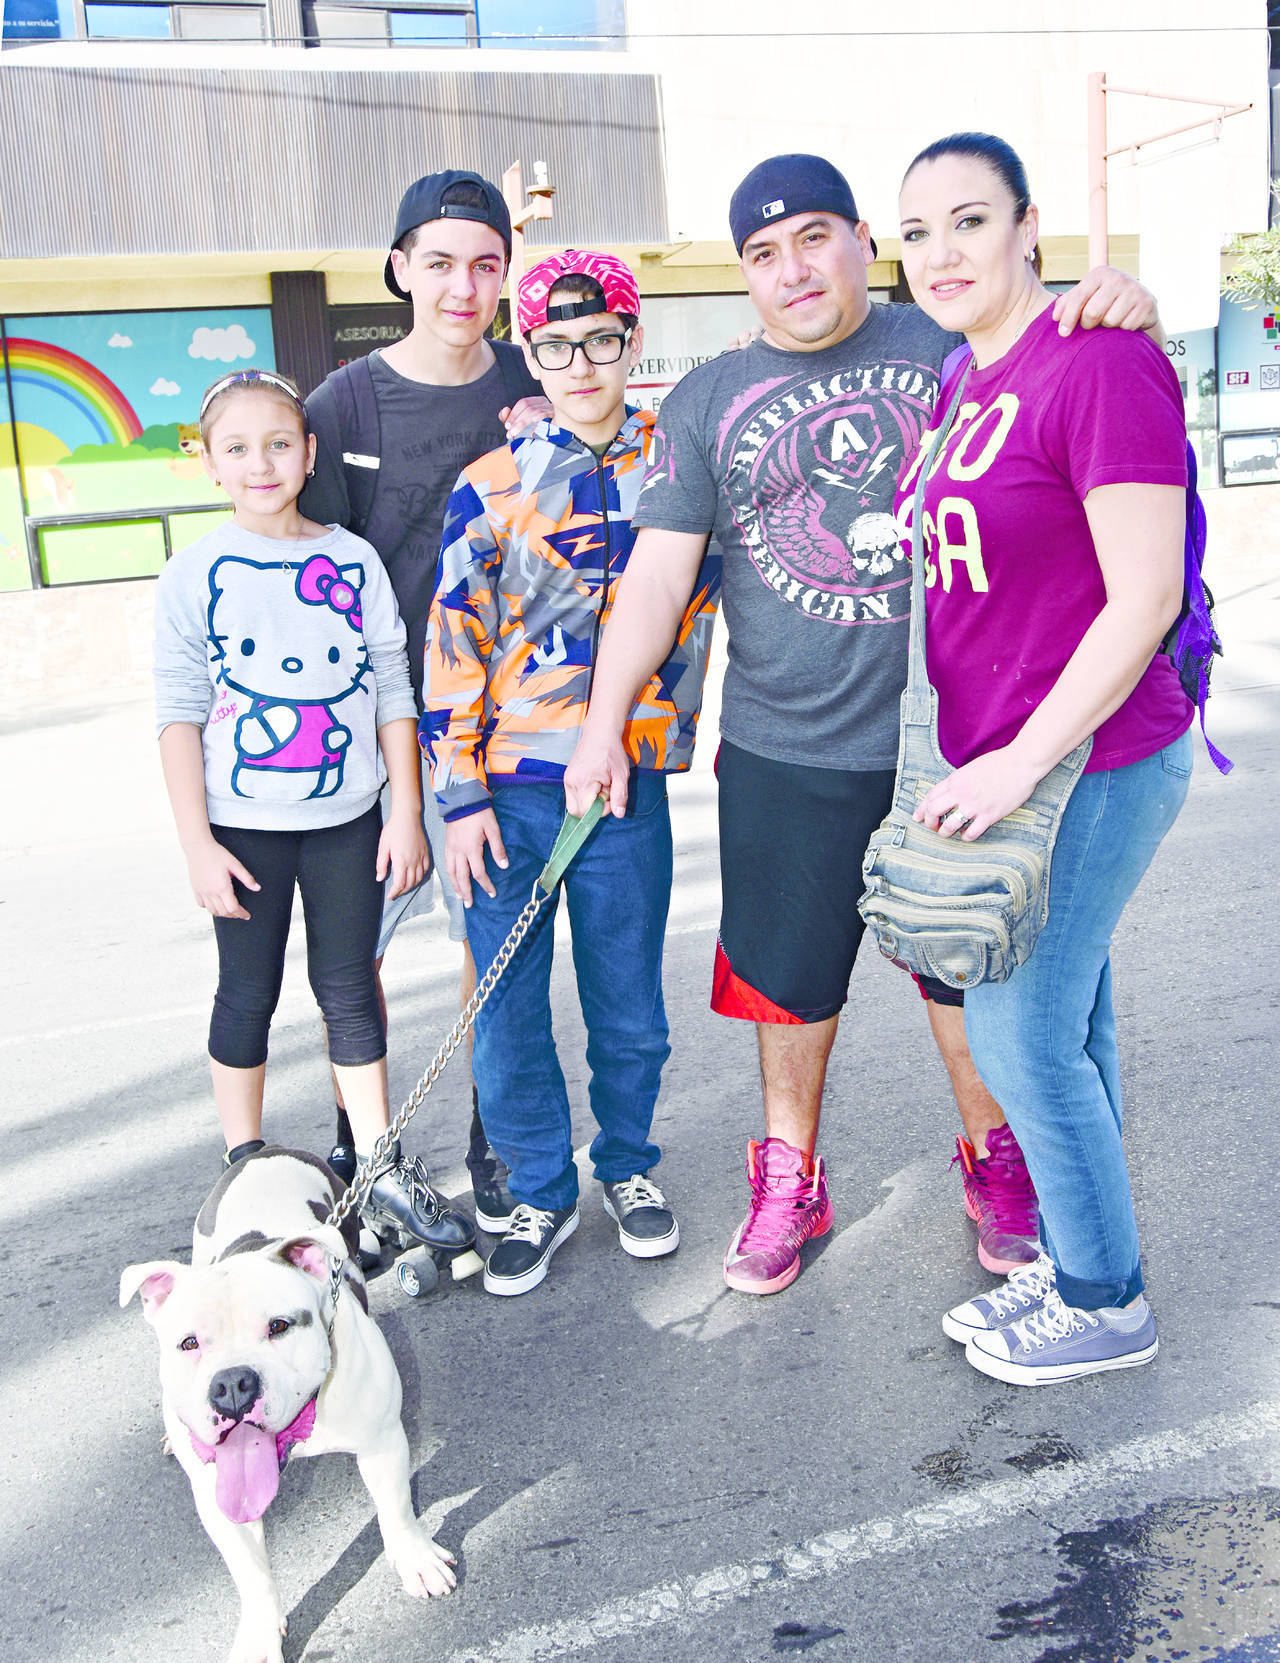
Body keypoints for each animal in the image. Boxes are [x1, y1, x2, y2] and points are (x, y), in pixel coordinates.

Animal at [121, 1147, 455, 1663]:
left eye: (279, 1326)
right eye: (189, 1343)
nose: (232, 1384)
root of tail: (264, 1151)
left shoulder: (382, 1443)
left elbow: (396, 1509)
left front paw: (416, 1560)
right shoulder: (219, 1496)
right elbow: (251, 1572)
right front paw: (260, 1636)